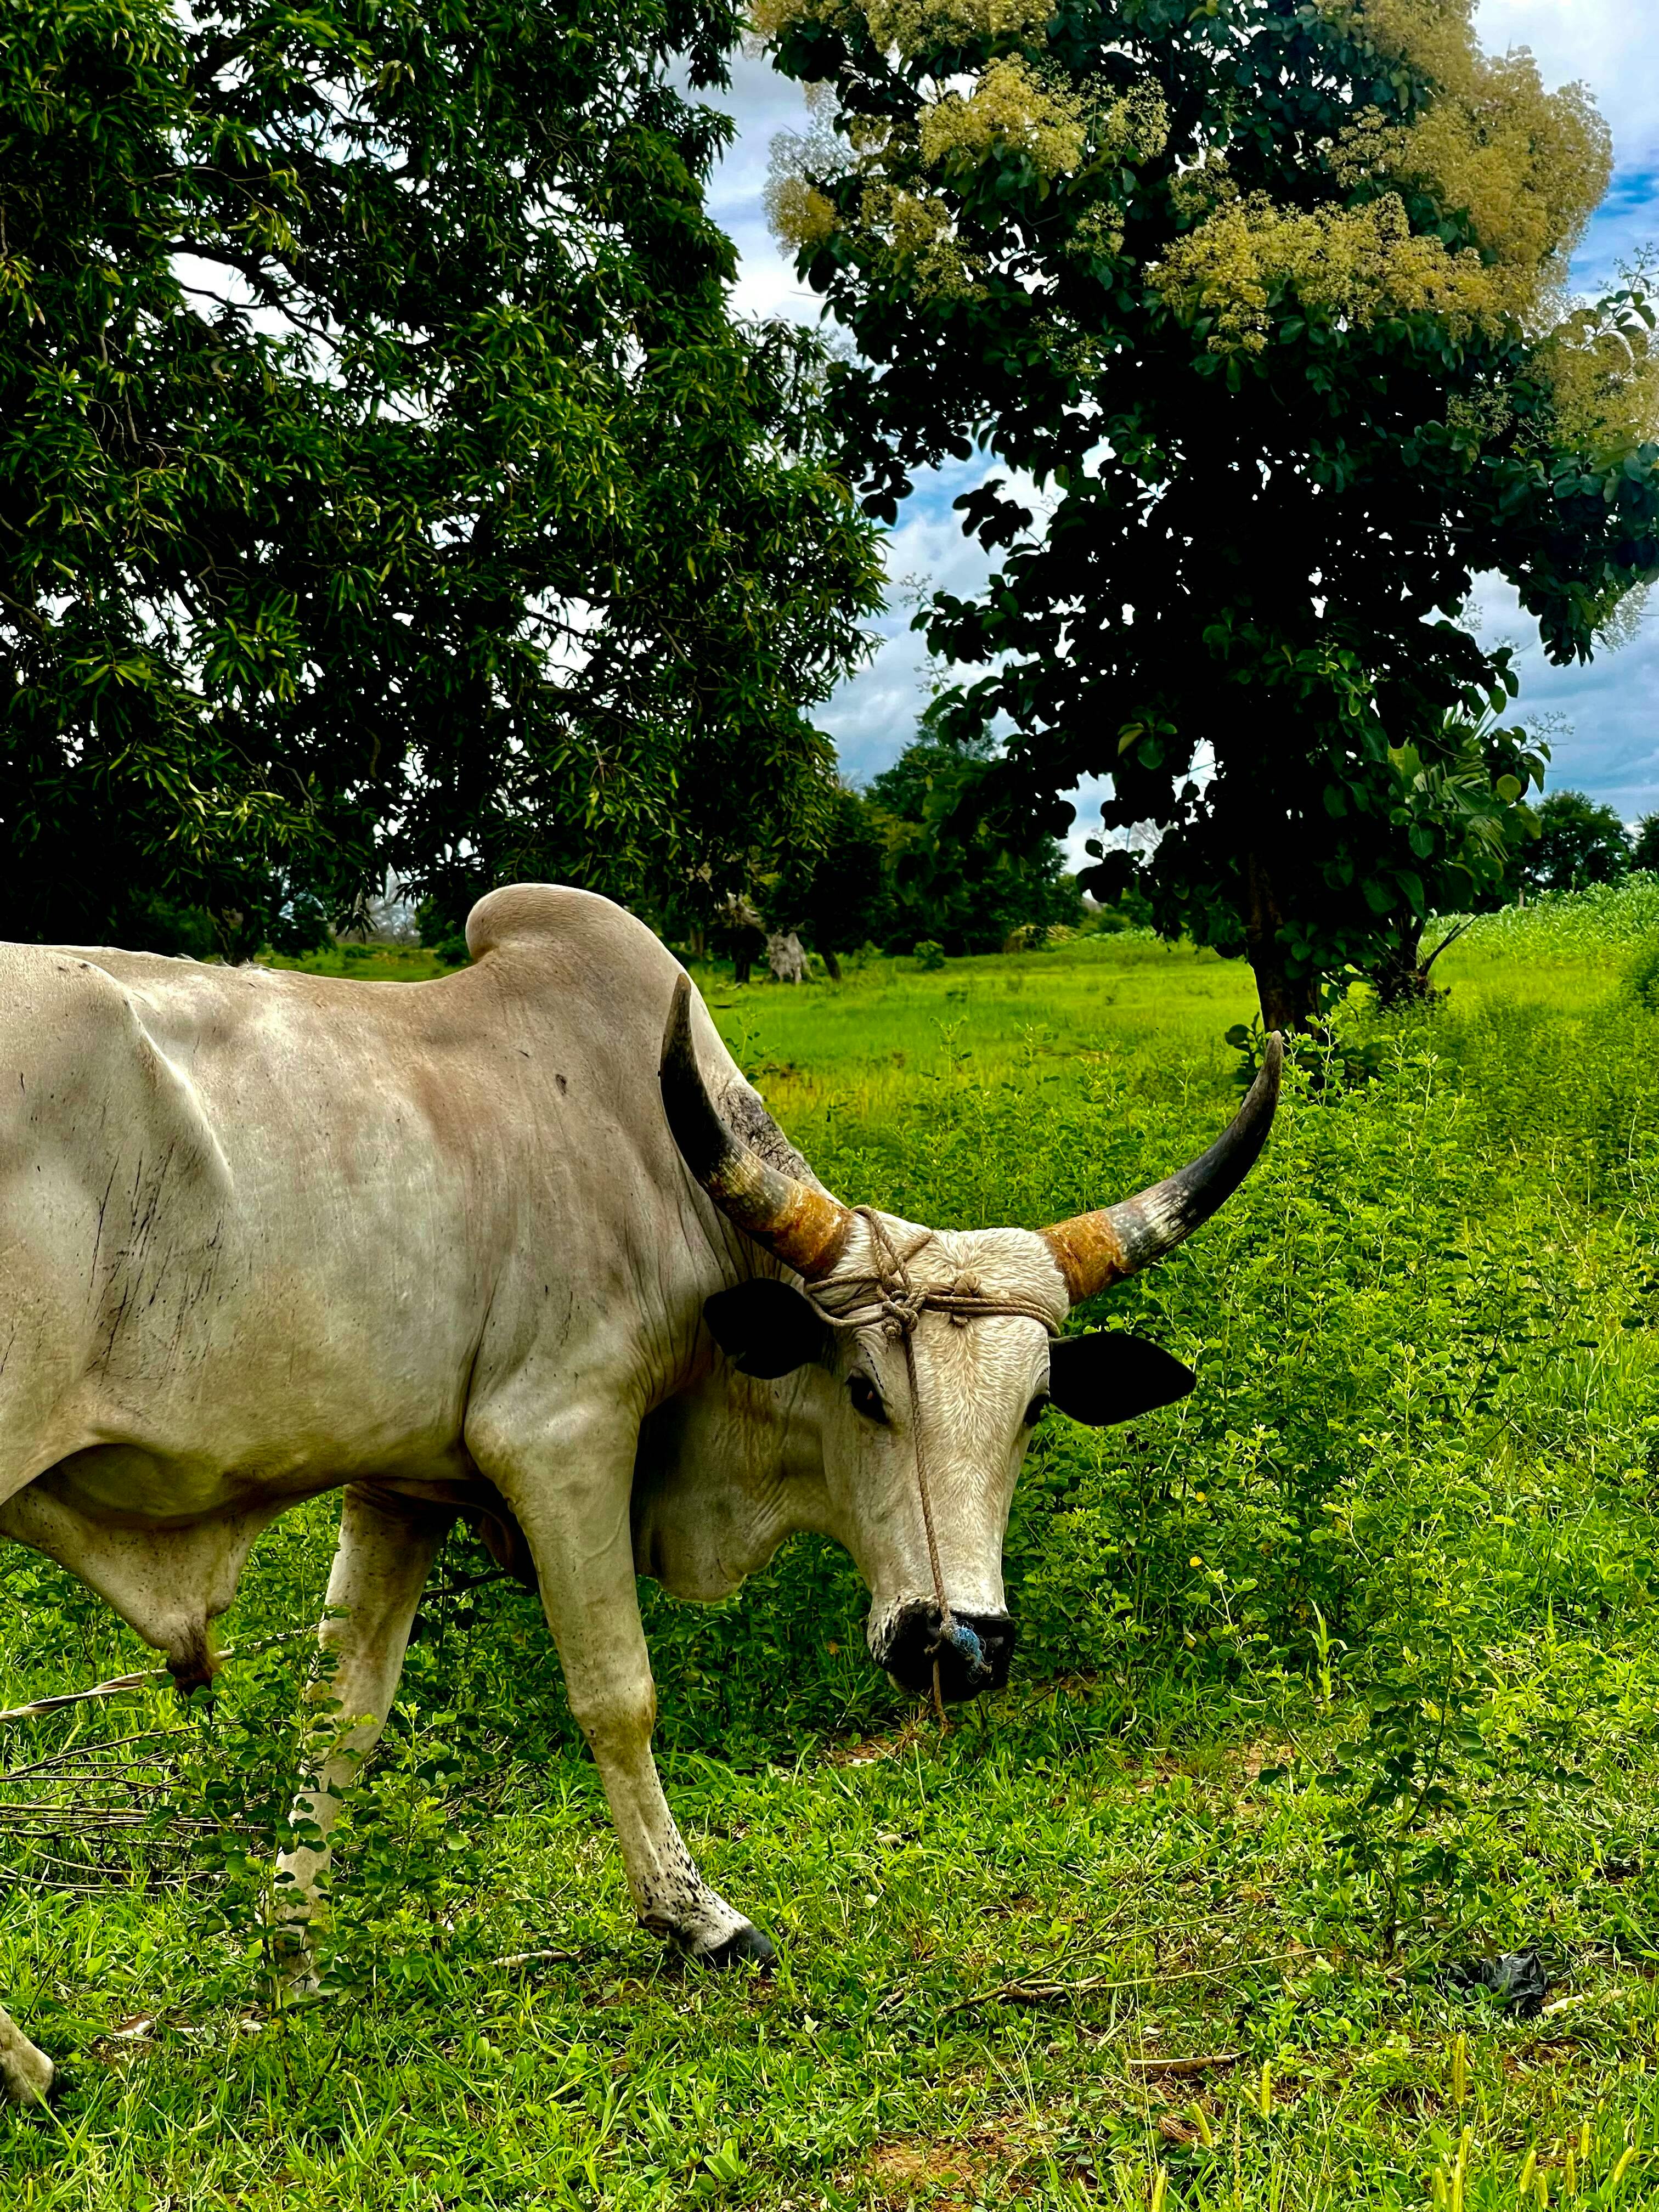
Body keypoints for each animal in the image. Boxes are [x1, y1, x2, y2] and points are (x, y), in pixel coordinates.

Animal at [0, 883, 1279, 2104]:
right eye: (866, 1389)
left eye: (1033, 1410)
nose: (959, 1647)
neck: (662, 1178)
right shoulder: (561, 1437)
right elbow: (620, 1696)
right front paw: (698, 1919)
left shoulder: (399, 1482)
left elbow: (342, 1717)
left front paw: (291, 1958)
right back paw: (31, 2069)